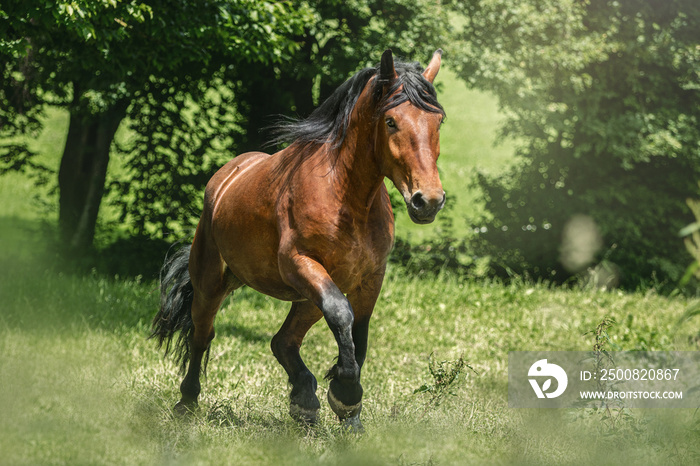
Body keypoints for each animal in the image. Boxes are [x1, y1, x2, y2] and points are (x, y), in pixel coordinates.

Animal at [154, 47, 448, 430]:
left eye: (438, 121)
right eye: (391, 121)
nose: (428, 200)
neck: (345, 196)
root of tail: (225, 179)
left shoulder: (369, 277)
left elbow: (359, 333)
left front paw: (349, 413)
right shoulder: (300, 263)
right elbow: (341, 315)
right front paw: (346, 395)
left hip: (307, 298)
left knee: (284, 341)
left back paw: (304, 401)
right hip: (212, 285)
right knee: (202, 336)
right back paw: (187, 403)